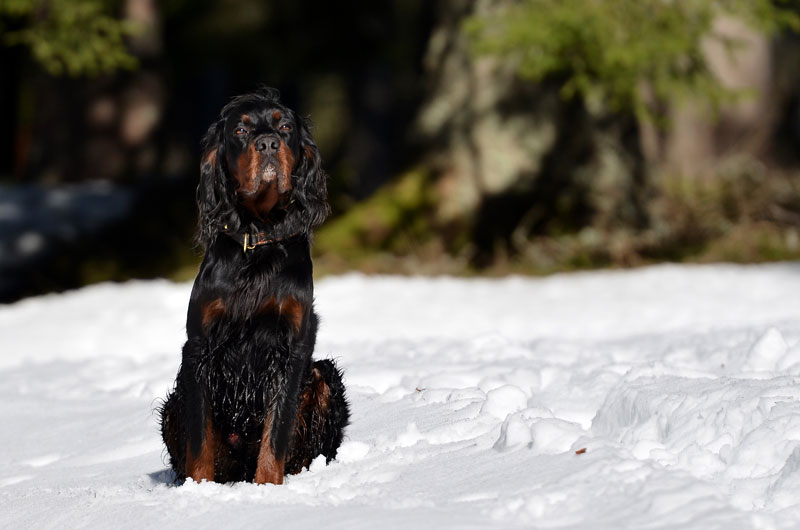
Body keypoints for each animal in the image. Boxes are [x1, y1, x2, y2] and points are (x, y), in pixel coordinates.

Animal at [159, 87, 350, 482]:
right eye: (241, 131)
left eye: (286, 126)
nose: (268, 143)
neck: (258, 237)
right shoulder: (200, 347)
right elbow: (200, 440)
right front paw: (200, 488)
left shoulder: (292, 349)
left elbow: (275, 433)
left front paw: (267, 485)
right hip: (173, 404)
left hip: (324, 375)